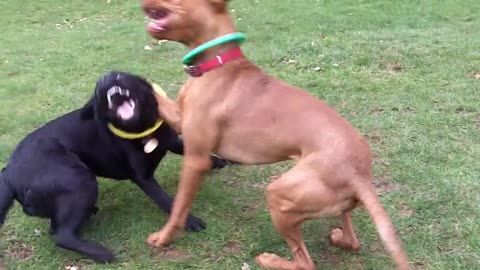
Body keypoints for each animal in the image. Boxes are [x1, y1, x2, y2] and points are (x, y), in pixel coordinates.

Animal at [0, 71, 228, 264]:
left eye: (122, 74)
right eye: (97, 88)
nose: (106, 77)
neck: (142, 128)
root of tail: (8, 174)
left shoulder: (171, 142)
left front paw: (219, 161)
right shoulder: (143, 177)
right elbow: (168, 201)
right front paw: (189, 221)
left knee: (56, 228)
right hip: (80, 179)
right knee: (61, 235)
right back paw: (101, 253)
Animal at [141, 1, 410, 268]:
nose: (143, 4)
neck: (217, 64)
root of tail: (359, 176)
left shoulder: (196, 159)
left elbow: (179, 207)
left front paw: (164, 238)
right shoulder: (179, 118)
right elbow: (155, 94)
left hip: (278, 197)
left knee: (305, 263)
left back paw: (271, 259)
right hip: (335, 204)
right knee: (352, 241)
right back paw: (339, 237)